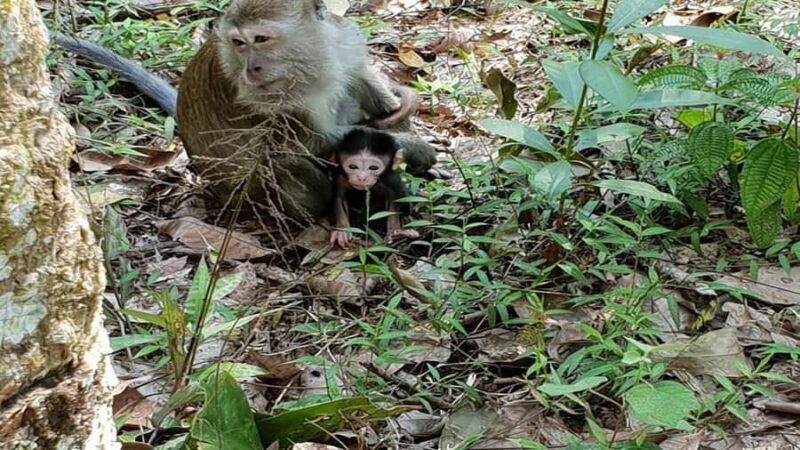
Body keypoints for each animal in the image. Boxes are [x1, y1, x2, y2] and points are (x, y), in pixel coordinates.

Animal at [51, 0, 439, 223]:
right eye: (238, 43)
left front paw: (400, 110)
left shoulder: (341, 41)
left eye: (261, 39)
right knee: (283, 164)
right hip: (253, 198)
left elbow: (359, 77)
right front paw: (409, 144)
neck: (311, 63)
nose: (251, 70)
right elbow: (302, 145)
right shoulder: (270, 104)